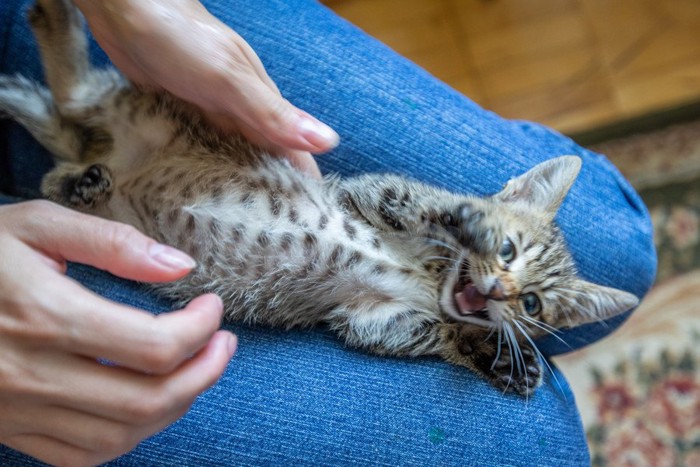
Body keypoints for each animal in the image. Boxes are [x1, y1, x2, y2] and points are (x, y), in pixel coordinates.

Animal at [0, 0, 640, 398]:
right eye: (508, 250)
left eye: (533, 305)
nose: (502, 291)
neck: (428, 279)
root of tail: (120, 158)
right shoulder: (374, 194)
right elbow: (429, 204)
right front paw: (471, 225)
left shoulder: (369, 318)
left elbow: (433, 336)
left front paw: (502, 357)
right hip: (153, 110)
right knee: (75, 95)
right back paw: (56, 27)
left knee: (61, 159)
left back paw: (80, 180)